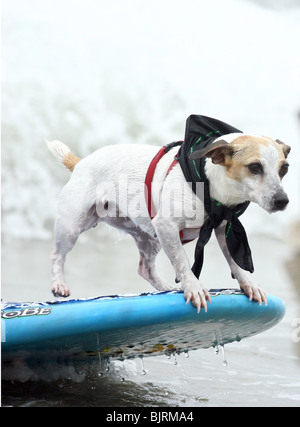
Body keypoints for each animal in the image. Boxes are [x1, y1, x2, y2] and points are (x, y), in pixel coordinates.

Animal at [45, 115, 290, 312]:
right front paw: (193, 286)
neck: (211, 187)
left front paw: (249, 284)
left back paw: (165, 289)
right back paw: (59, 284)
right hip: (72, 227)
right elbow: (182, 260)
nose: (283, 201)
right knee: (57, 255)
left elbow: (234, 261)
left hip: (150, 238)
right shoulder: (167, 226)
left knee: (145, 269)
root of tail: (81, 163)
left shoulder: (222, 227)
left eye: (284, 169)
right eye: (255, 167)